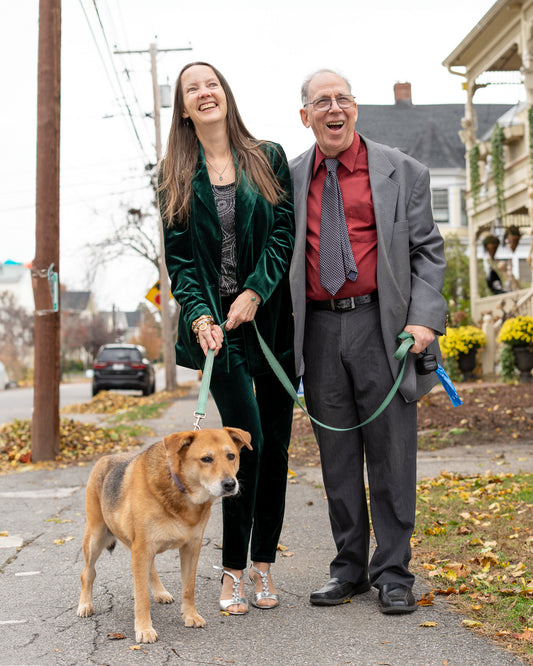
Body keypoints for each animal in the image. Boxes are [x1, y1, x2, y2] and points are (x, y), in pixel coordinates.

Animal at [76, 428, 251, 640]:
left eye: (231, 456)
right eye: (206, 459)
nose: (230, 484)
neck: (179, 487)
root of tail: (106, 458)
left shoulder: (191, 548)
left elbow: (188, 588)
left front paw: (190, 616)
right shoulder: (142, 548)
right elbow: (142, 597)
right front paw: (144, 628)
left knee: (150, 568)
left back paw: (159, 592)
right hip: (96, 537)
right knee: (87, 573)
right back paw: (85, 604)